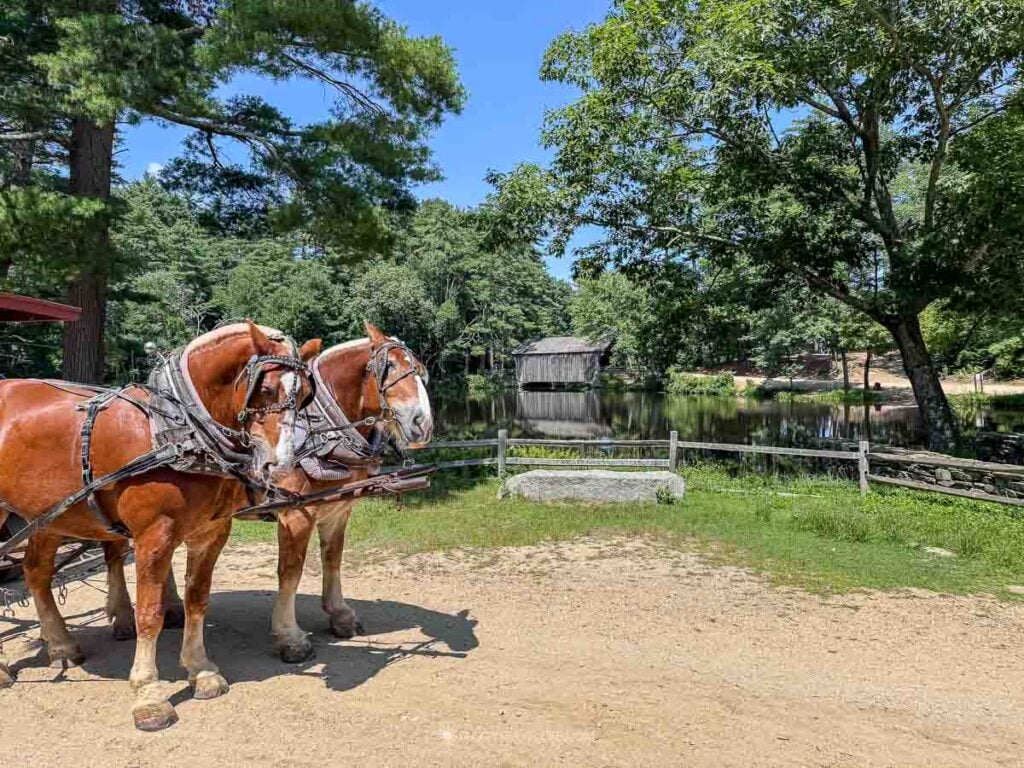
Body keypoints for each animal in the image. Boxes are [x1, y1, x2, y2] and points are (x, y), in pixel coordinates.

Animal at [0, 321, 317, 731]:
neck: (175, 430)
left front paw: (200, 670)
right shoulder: (154, 536)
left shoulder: (210, 534)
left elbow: (198, 599)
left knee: (36, 572)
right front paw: (149, 696)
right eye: (264, 389)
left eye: (306, 394)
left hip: (47, 516)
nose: (281, 466)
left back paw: (61, 645)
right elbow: (148, 615)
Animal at [268, 322, 433, 662]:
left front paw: (339, 614)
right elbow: (290, 572)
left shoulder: (338, 509)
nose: (422, 424)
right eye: (389, 366)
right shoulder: (295, 514)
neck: (319, 434)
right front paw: (289, 637)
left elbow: (333, 558)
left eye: (419, 368)